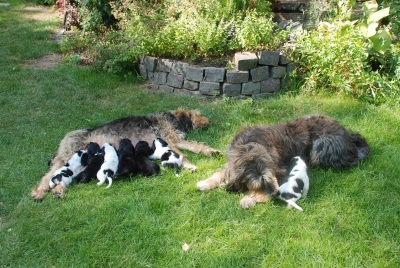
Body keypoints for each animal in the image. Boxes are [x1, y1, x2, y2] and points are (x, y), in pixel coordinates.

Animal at [31, 109, 220, 201]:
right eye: (197, 114)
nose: (209, 121)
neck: (172, 118)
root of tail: (65, 139)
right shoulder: (171, 141)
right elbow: (185, 154)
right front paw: (191, 165)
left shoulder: (176, 140)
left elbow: (196, 146)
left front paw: (211, 151)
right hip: (67, 156)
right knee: (48, 176)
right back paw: (39, 192)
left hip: (79, 163)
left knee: (62, 177)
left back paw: (58, 191)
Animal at [197, 114, 368, 208]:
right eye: (258, 185)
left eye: (268, 180)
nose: (275, 193)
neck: (248, 148)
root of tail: (349, 135)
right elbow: (221, 173)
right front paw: (205, 183)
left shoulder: (280, 169)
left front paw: (248, 199)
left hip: (321, 146)